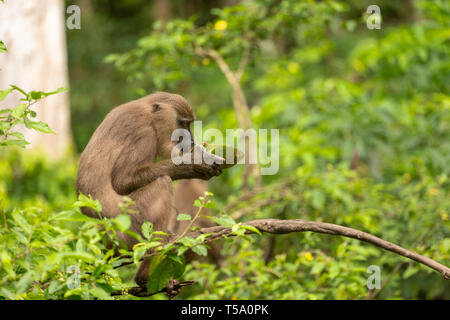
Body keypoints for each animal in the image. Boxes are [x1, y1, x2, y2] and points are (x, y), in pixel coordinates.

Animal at [76, 92, 223, 288]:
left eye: (189, 124)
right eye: (183, 124)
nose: (191, 141)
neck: (150, 115)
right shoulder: (145, 133)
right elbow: (122, 181)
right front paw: (194, 165)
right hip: (130, 227)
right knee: (163, 183)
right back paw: (144, 277)